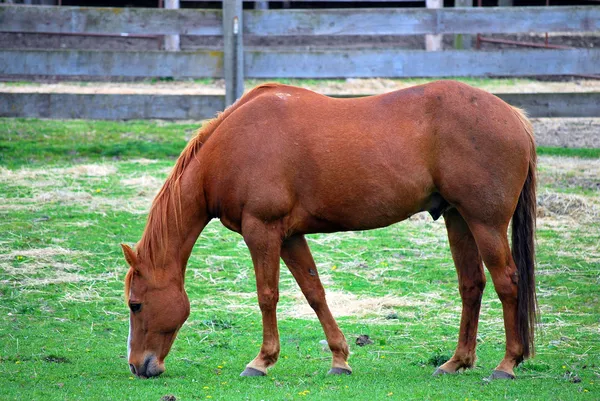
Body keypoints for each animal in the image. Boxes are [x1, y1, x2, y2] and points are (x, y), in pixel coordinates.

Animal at [122, 79, 540, 380]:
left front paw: (261, 361)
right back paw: (457, 362)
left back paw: (506, 365)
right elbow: (314, 293)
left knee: (507, 283)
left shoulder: (262, 231)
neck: (233, 145)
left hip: (485, 223)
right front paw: (339, 359)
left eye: (135, 304)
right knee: (472, 285)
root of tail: (514, 117)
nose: (138, 366)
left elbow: (267, 296)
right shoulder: (289, 236)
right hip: (459, 219)